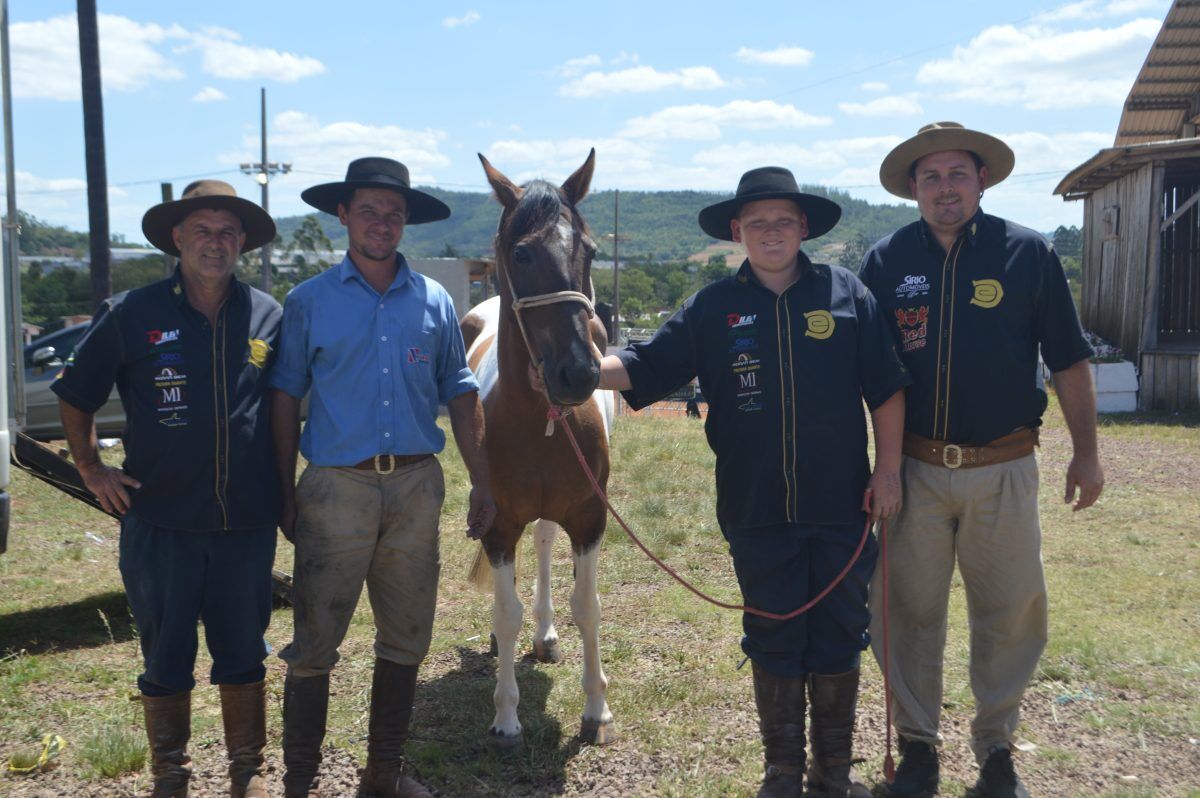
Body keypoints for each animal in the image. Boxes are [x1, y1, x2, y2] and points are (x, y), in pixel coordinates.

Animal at [460, 147, 619, 748]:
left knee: (547, 541)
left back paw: (547, 632)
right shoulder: (499, 523)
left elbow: (588, 607)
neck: (537, 419)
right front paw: (506, 717)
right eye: (522, 253)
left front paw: (596, 710)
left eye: (590, 251)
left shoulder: (591, 516)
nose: (578, 373)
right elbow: (506, 613)